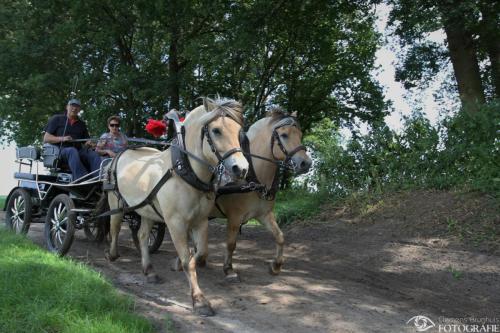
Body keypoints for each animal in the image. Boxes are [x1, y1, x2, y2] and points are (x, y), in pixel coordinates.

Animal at [105, 97, 248, 316]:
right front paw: (199, 300)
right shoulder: (175, 223)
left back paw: (149, 271)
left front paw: (178, 266)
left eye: (239, 130)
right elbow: (187, 259)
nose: (241, 169)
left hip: (147, 209)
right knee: (114, 227)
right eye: (216, 130)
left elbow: (200, 252)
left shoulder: (200, 221)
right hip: (115, 202)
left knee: (143, 236)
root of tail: (120, 154)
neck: (185, 172)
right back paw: (112, 255)